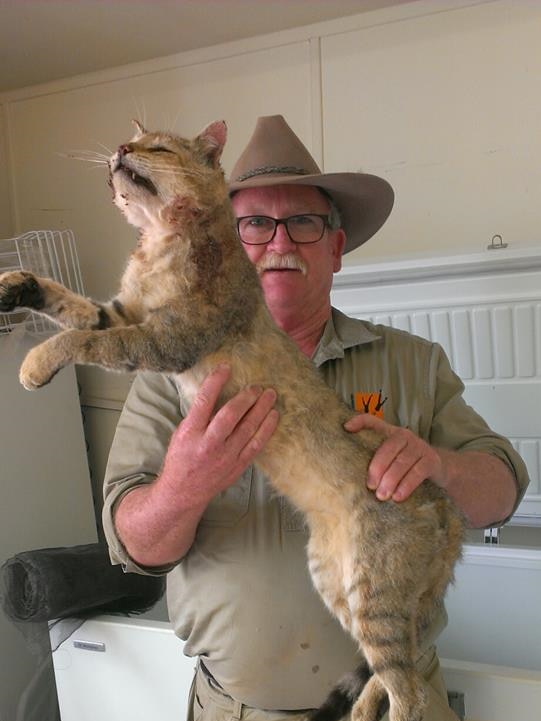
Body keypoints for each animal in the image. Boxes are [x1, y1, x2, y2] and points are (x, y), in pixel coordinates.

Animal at [1, 121, 464, 716]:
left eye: (157, 146)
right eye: (133, 139)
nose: (120, 150)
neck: (162, 240)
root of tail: (447, 512)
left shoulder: (167, 338)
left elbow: (85, 340)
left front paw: (33, 363)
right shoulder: (122, 313)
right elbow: (71, 307)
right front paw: (16, 283)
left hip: (374, 595)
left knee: (409, 691)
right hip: (337, 584)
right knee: (381, 675)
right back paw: (359, 711)